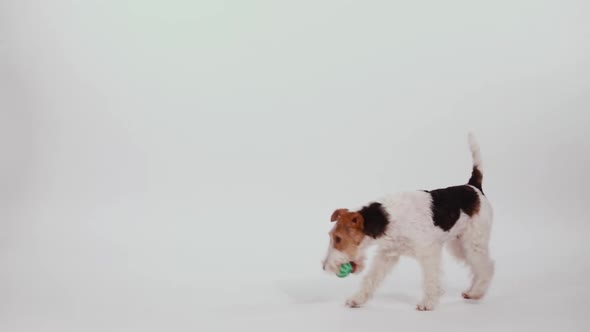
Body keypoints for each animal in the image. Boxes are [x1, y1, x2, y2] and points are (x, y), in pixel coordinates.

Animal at [324, 132, 494, 312]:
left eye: (338, 238)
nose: (324, 267)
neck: (386, 219)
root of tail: (473, 186)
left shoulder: (429, 252)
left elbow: (431, 279)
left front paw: (427, 303)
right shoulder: (387, 254)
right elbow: (371, 278)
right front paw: (356, 299)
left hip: (474, 241)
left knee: (487, 267)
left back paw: (476, 292)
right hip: (459, 245)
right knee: (477, 268)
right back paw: (472, 291)